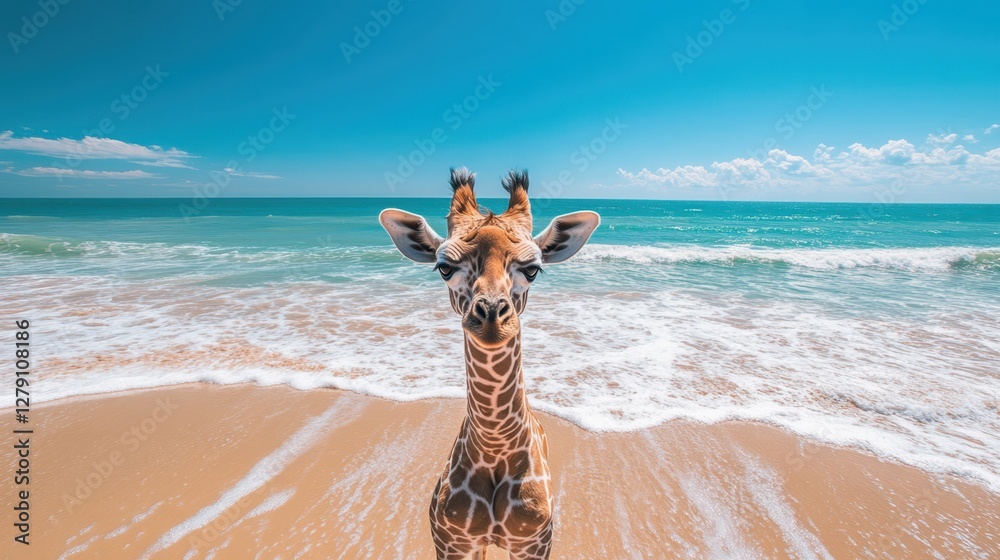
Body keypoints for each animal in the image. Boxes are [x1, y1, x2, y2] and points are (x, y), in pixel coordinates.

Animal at [379, 168, 600, 560]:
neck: (495, 447)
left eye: (533, 269)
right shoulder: (452, 542)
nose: (492, 316)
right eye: (444, 267)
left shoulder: (534, 543)